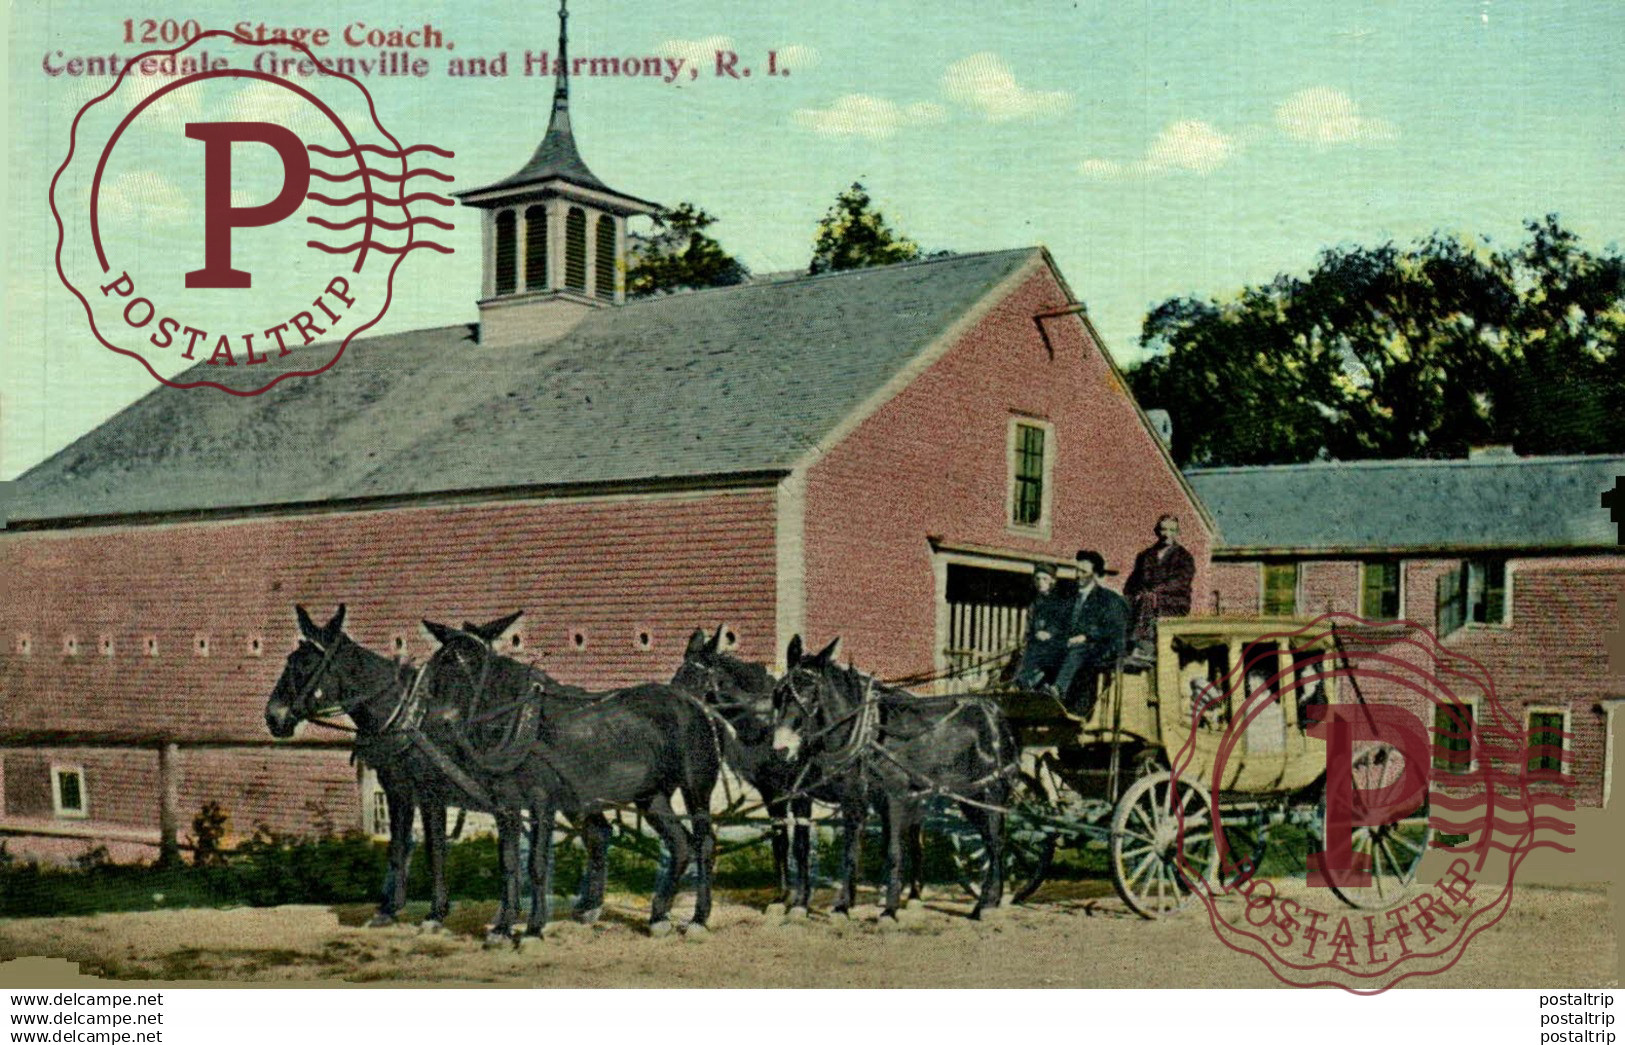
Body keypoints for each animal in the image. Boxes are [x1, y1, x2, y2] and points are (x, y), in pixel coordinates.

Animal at [422, 614, 721, 942]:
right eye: (438, 664)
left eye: (474, 665)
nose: (439, 723)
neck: (521, 724)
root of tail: (691, 700)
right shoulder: (504, 804)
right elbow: (509, 863)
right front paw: (502, 929)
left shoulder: (542, 801)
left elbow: (537, 863)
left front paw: (533, 929)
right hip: (650, 795)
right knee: (679, 843)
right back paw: (658, 917)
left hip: (696, 787)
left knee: (704, 843)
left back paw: (698, 919)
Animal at [770, 633, 1014, 923]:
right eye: (779, 693)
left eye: (812, 693)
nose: (782, 749)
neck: (861, 733)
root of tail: (992, 710)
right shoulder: (818, 798)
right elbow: (809, 850)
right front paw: (807, 905)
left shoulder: (889, 798)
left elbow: (889, 851)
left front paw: (886, 909)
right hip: (966, 797)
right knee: (991, 842)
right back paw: (988, 902)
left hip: (986, 794)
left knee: (995, 843)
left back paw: (986, 904)